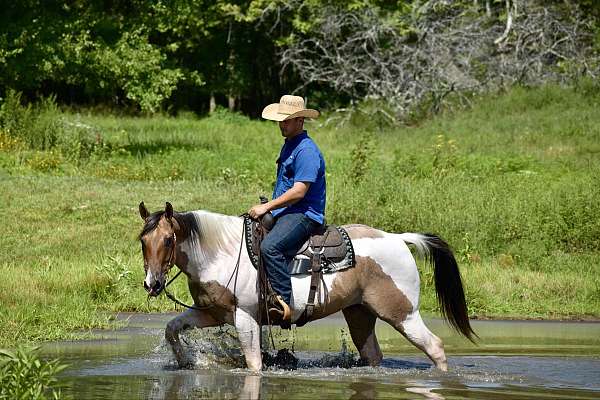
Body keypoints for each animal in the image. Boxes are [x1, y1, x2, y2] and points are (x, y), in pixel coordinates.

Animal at [138, 202, 476, 374]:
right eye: (143, 241)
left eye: (167, 240)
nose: (152, 283)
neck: (221, 253)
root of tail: (399, 238)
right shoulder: (211, 314)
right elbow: (172, 328)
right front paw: (185, 362)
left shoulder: (245, 316)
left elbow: (254, 363)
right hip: (360, 314)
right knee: (373, 355)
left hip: (402, 314)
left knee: (435, 347)